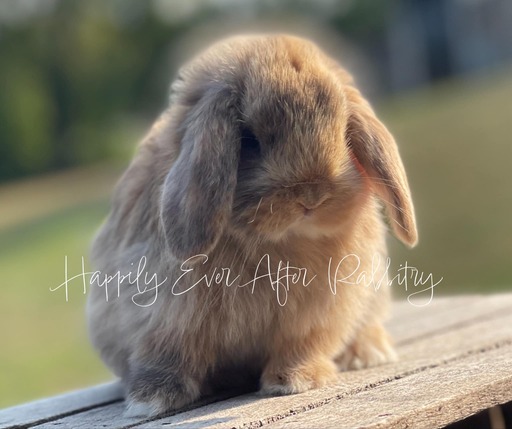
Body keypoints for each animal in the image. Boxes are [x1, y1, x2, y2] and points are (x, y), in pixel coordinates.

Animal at [87, 33, 416, 414]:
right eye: (249, 140)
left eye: (344, 135)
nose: (311, 196)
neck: (278, 241)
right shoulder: (164, 316)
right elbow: (168, 353)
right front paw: (153, 398)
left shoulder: (316, 317)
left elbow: (301, 346)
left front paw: (294, 381)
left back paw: (368, 351)